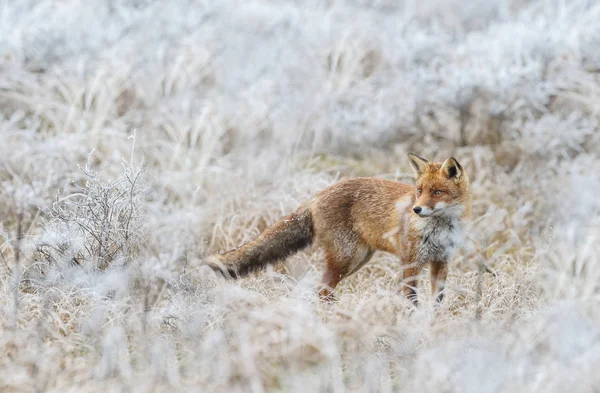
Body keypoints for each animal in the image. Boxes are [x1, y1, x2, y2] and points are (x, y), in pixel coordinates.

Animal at [209, 153, 472, 304]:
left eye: (437, 192)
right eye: (419, 191)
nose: (416, 209)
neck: (439, 229)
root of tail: (316, 196)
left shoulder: (441, 261)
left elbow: (437, 300)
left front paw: (433, 323)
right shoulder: (411, 261)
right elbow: (412, 300)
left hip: (358, 259)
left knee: (323, 290)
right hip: (346, 258)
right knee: (322, 290)